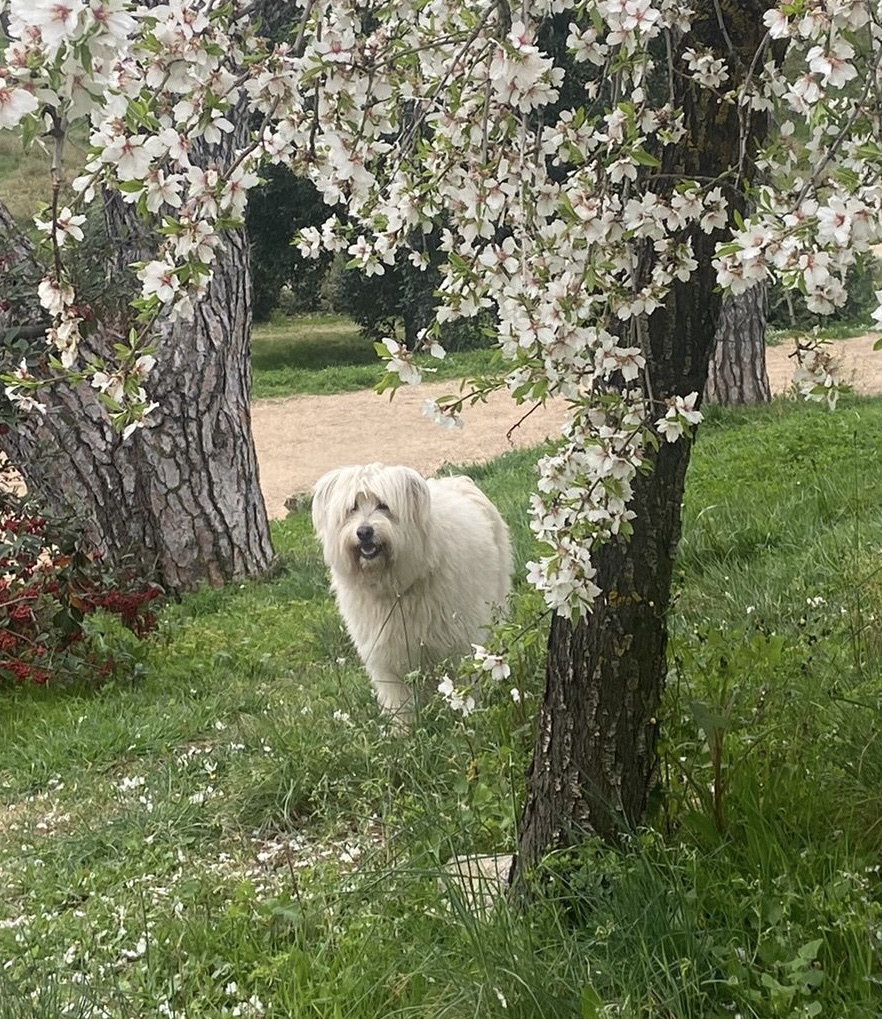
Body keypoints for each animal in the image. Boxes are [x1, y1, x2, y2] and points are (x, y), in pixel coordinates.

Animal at [313, 466, 511, 721]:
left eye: (384, 505)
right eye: (352, 508)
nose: (364, 532)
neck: (396, 588)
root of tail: (457, 481)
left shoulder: (459, 643)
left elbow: (464, 682)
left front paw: (467, 713)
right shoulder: (386, 658)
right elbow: (398, 700)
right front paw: (404, 728)